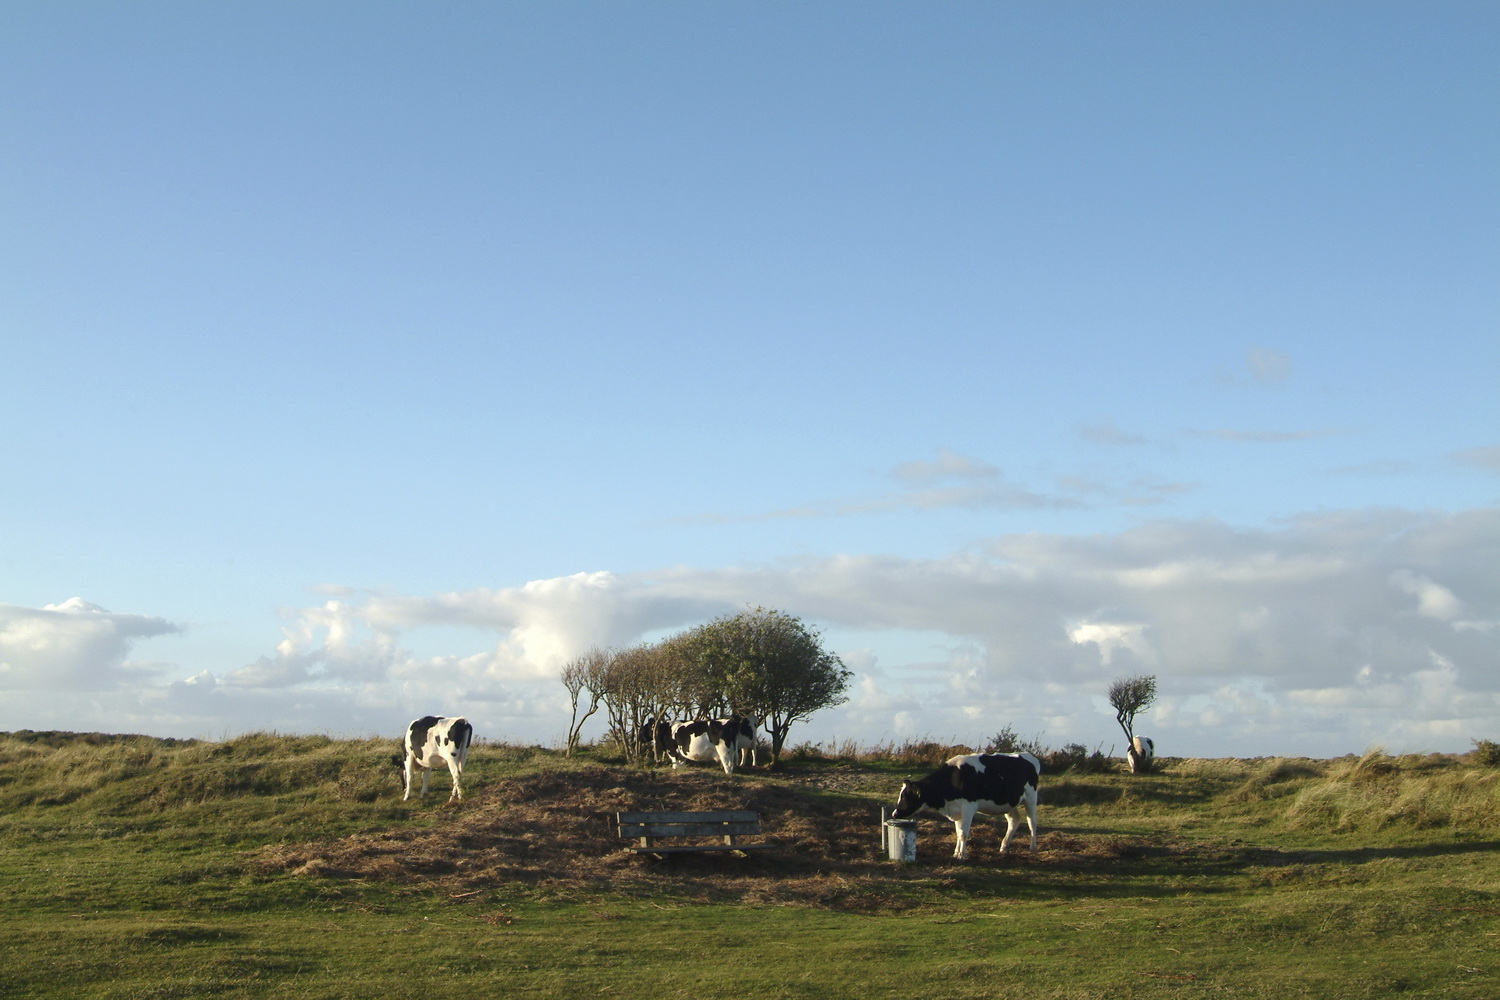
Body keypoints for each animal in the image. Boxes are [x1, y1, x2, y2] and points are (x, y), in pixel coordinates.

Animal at [882, 749, 1038, 863]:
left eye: (906, 796)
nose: (895, 814)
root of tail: (1028, 756)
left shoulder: (968, 808)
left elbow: (963, 833)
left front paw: (962, 856)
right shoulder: (957, 810)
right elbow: (958, 832)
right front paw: (956, 853)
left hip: (1031, 798)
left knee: (1032, 823)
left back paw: (1033, 847)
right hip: (1009, 803)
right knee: (1014, 820)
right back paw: (1004, 847)